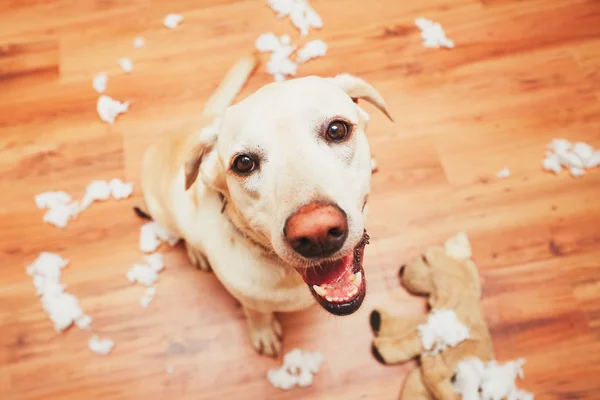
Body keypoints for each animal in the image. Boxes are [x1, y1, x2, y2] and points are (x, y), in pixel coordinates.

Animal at [138, 52, 396, 356]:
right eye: (244, 163)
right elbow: (257, 314)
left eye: (336, 129)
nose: (317, 233)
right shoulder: (249, 299)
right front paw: (263, 332)